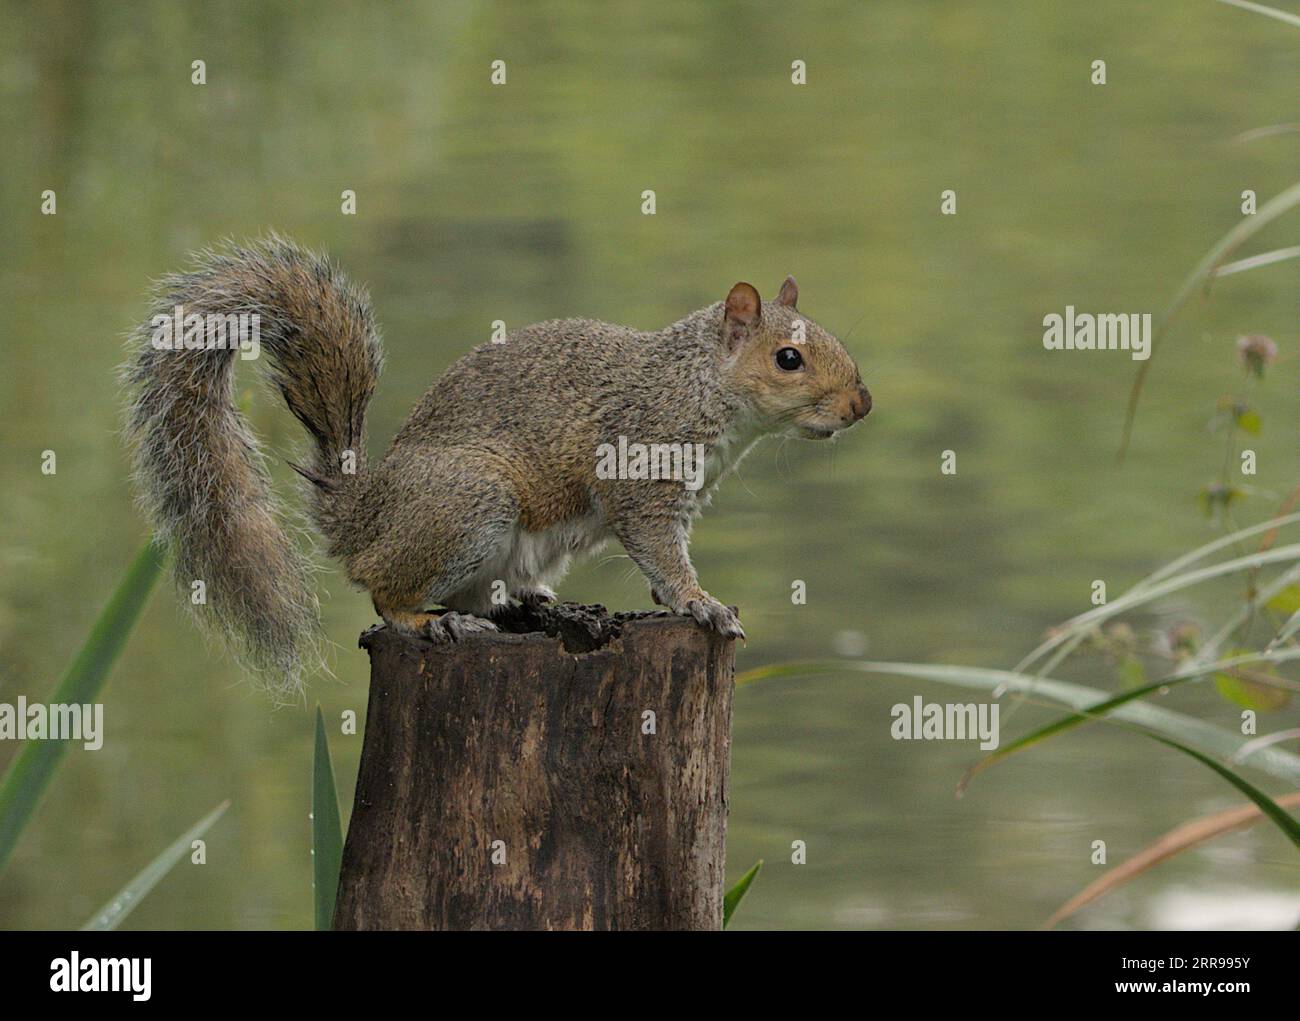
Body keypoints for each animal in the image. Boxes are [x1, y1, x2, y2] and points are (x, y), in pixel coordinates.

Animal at [124, 235, 873, 697]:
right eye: (788, 359)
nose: (861, 404)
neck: (695, 386)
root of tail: (362, 513)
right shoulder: (643, 476)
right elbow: (661, 554)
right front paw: (701, 603)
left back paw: (537, 604)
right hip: (470, 505)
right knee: (386, 592)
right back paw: (435, 622)